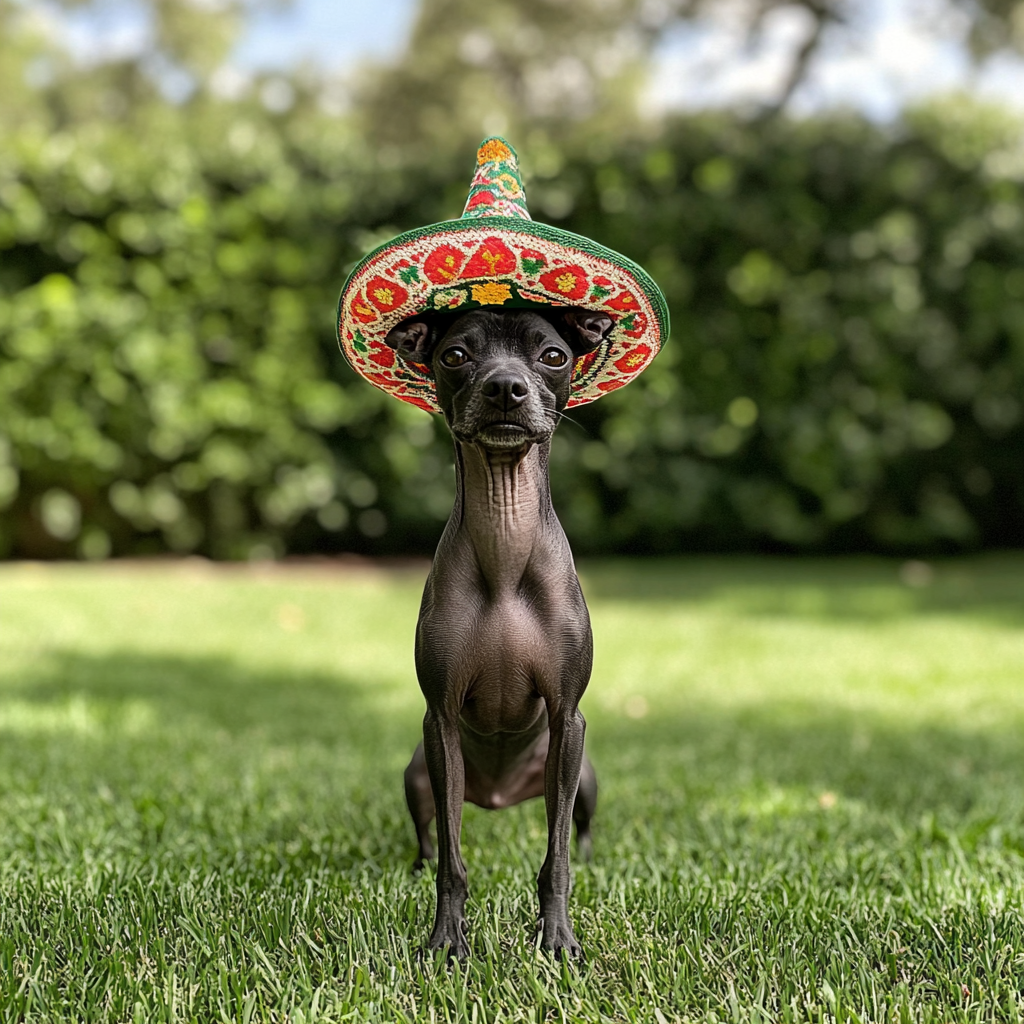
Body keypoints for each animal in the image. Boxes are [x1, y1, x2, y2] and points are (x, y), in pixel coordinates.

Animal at [382, 305, 606, 958]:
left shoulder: (567, 717)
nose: (506, 388)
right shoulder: (440, 720)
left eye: (553, 355)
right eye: (455, 355)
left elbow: (556, 858)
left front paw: (557, 939)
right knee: (431, 835)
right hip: (417, 777)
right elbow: (452, 863)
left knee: (579, 829)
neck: (505, 548)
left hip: (582, 777)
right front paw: (446, 940)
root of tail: (501, 797)